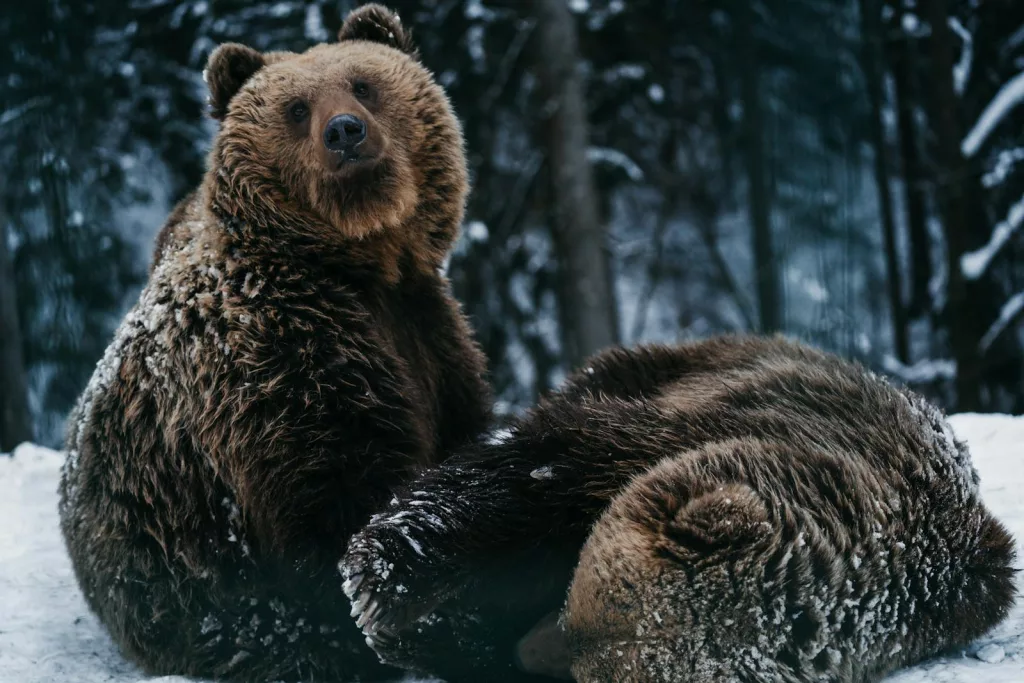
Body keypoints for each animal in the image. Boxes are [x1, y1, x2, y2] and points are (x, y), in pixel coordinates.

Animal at [58, 5, 493, 681]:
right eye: (296, 107)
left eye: (364, 84)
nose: (345, 132)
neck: (363, 264)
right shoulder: (276, 356)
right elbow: (336, 491)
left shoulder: (428, 330)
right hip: (190, 595)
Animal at [341, 335, 1016, 683]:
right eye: (578, 605)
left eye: (589, 666)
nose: (528, 653)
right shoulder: (725, 422)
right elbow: (545, 472)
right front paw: (385, 577)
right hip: (674, 364)